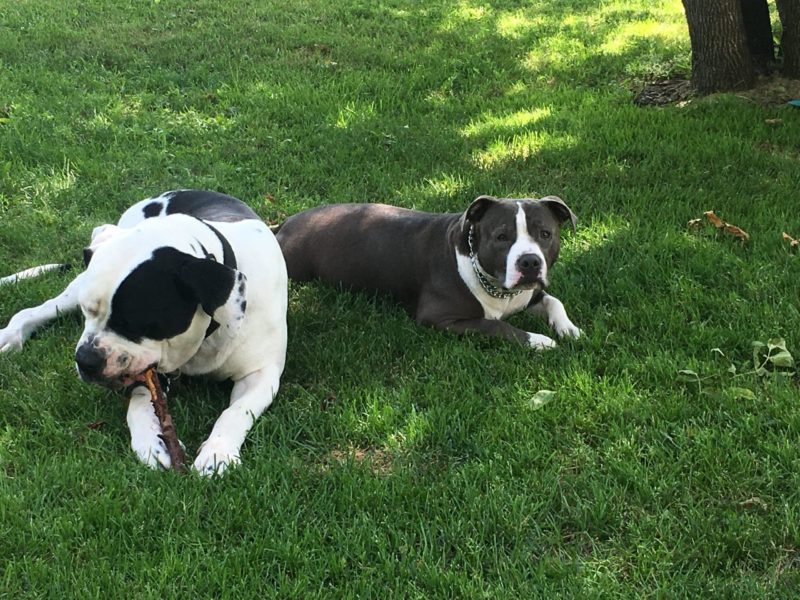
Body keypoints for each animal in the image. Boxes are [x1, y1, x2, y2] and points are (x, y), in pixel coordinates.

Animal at [0, 190, 288, 476]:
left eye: (134, 323)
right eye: (86, 311)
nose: (86, 360)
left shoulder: (260, 375)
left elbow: (236, 411)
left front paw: (217, 452)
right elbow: (139, 406)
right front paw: (151, 442)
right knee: (37, 309)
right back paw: (10, 335)